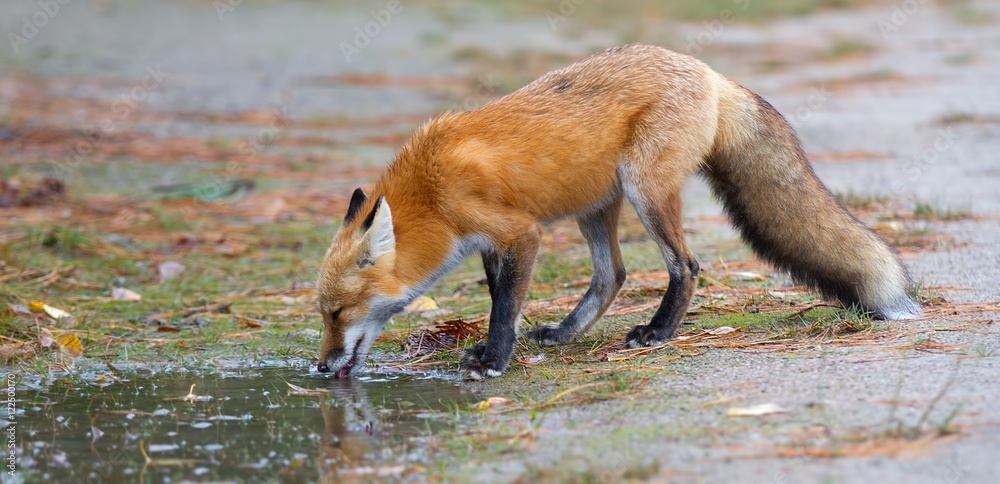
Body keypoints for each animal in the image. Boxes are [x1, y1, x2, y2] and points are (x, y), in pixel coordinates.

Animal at [314, 43, 920, 380]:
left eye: (338, 313)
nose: (321, 367)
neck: (431, 191)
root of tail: (705, 70)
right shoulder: (491, 244)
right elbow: (498, 300)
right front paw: (493, 349)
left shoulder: (519, 233)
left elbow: (504, 308)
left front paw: (492, 362)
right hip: (597, 207)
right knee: (613, 275)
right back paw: (566, 333)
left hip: (644, 190)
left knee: (685, 266)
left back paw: (659, 333)